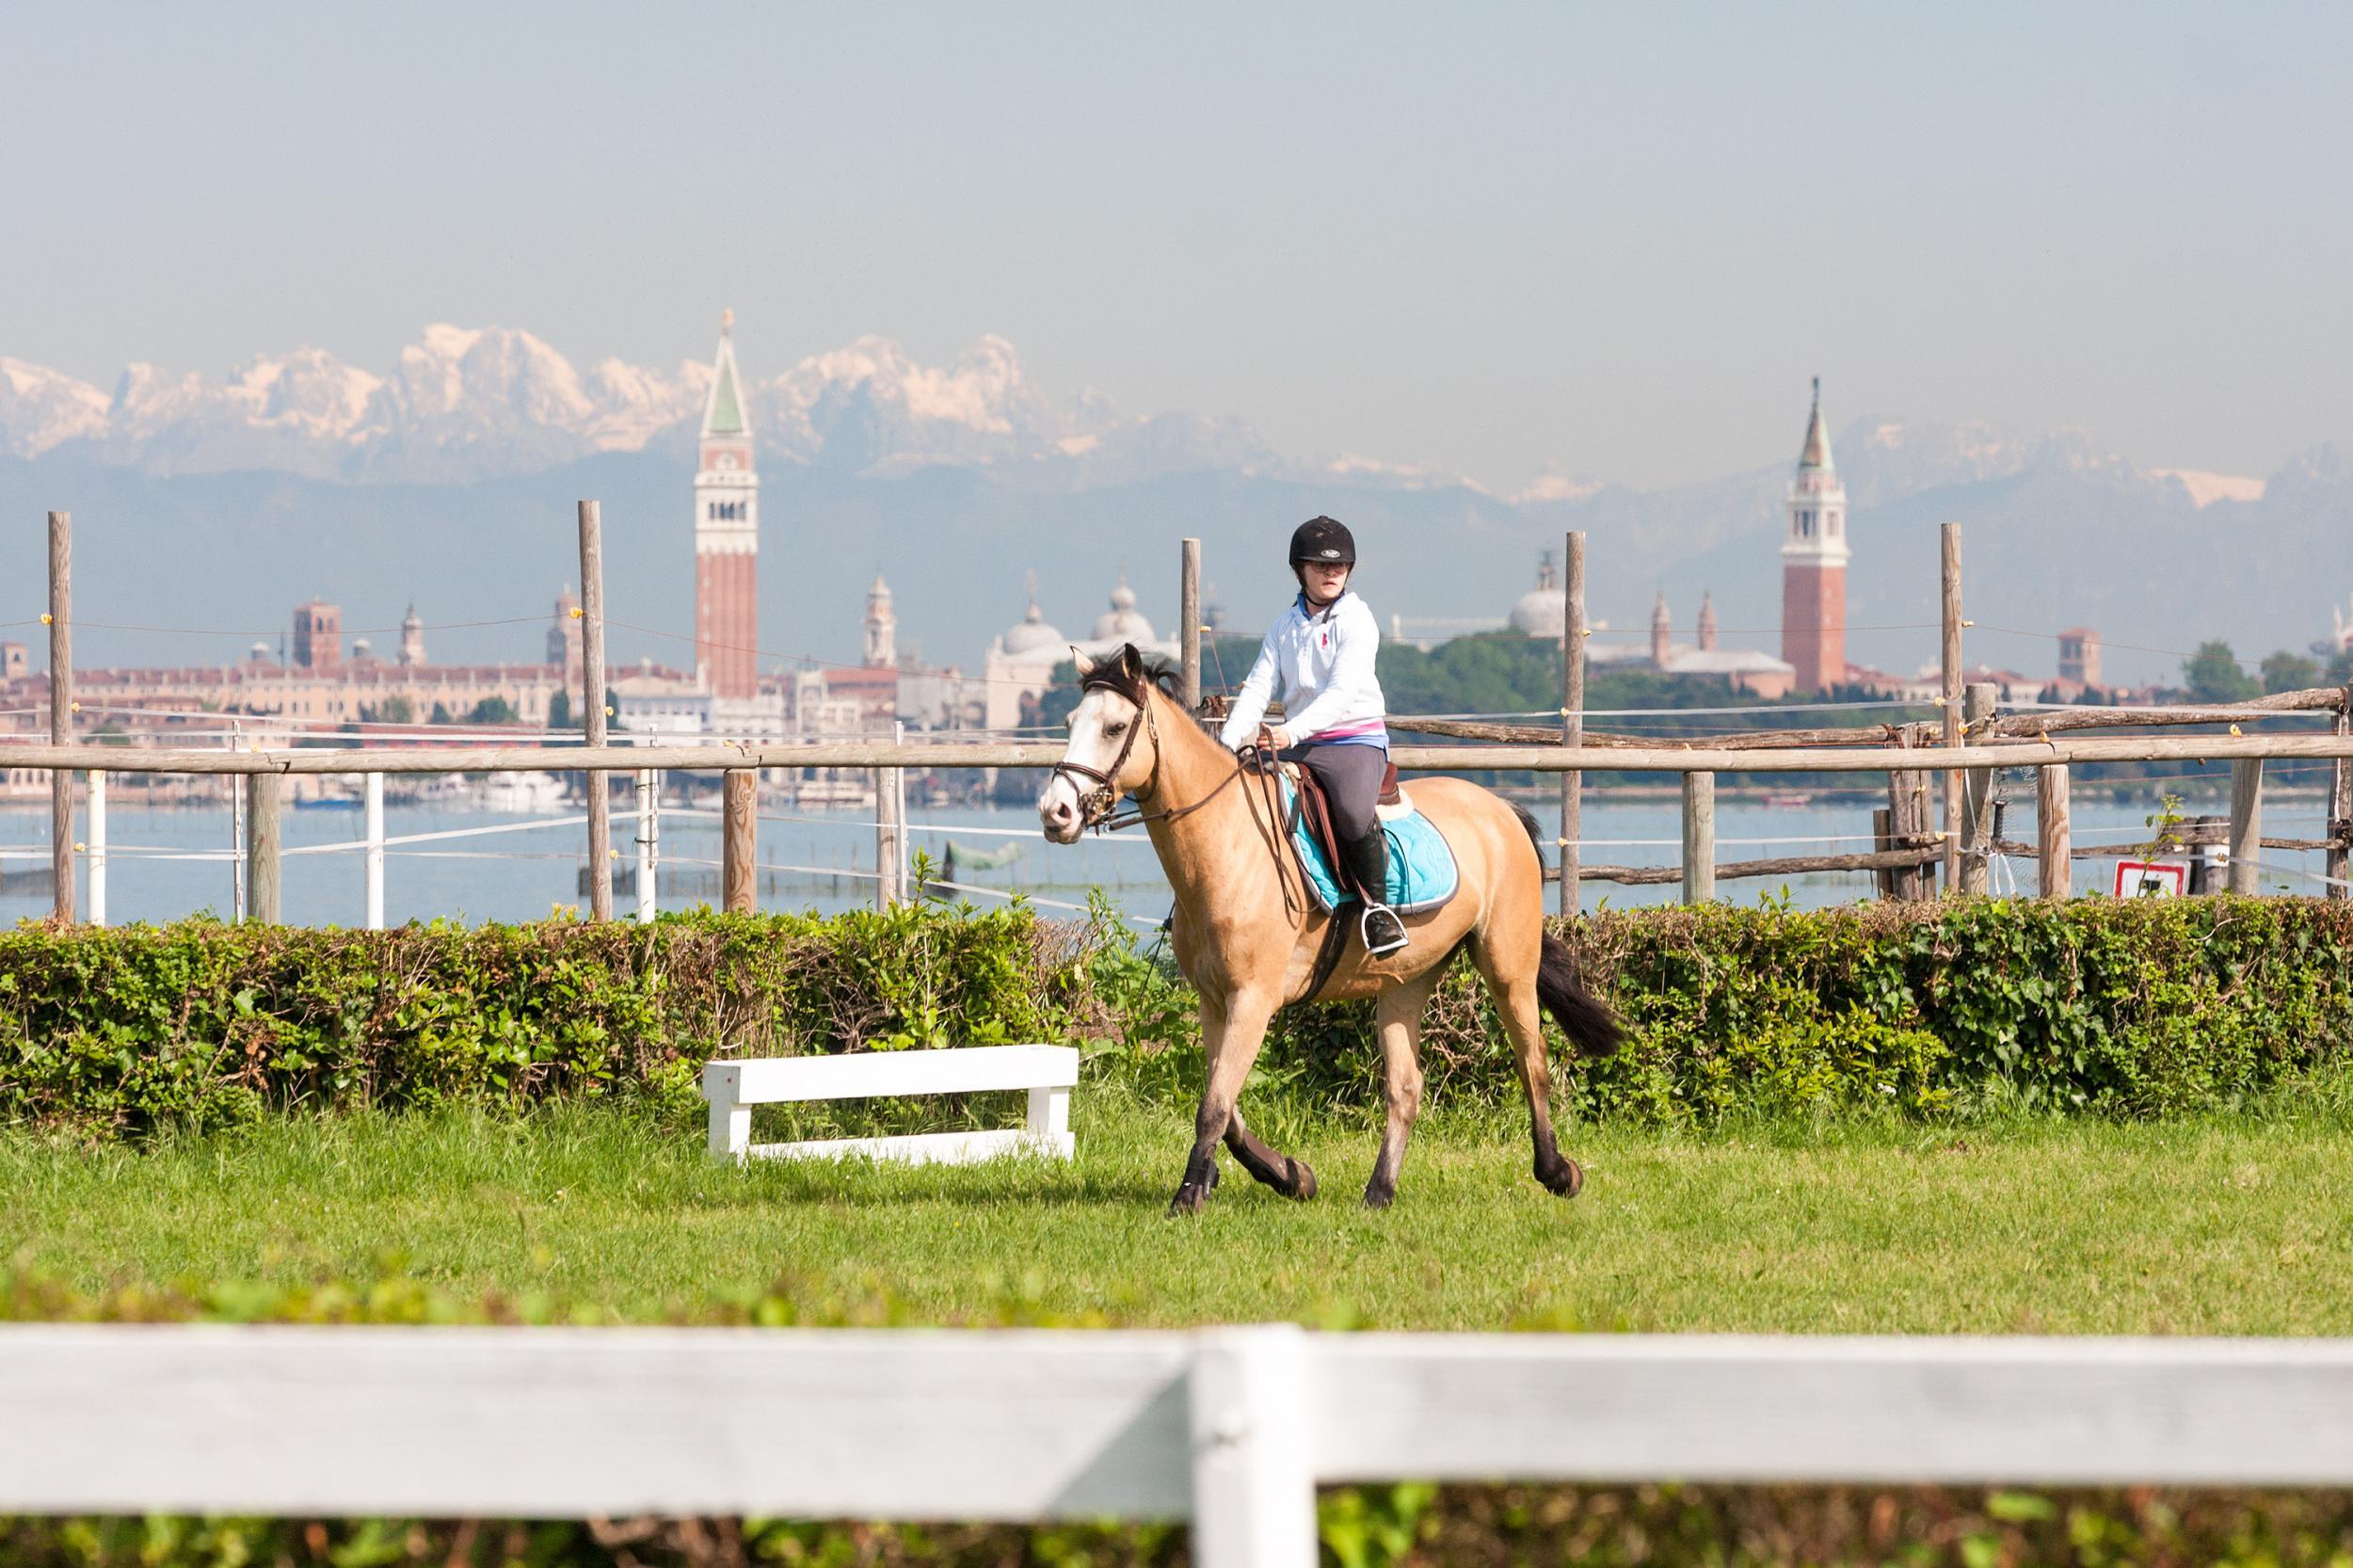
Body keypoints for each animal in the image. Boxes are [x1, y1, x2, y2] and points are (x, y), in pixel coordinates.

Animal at [1040, 640, 1628, 1214]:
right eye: (1070, 721)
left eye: (1115, 727)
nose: (1055, 812)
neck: (1227, 846)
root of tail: (1499, 809)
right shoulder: (1214, 1001)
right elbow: (1227, 1108)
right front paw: (1289, 1176)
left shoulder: (1253, 999)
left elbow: (1214, 1106)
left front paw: (1188, 1198)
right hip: (1407, 980)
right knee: (1406, 1086)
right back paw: (1379, 1192)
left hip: (1507, 965)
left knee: (1533, 1061)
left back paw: (1558, 1172)